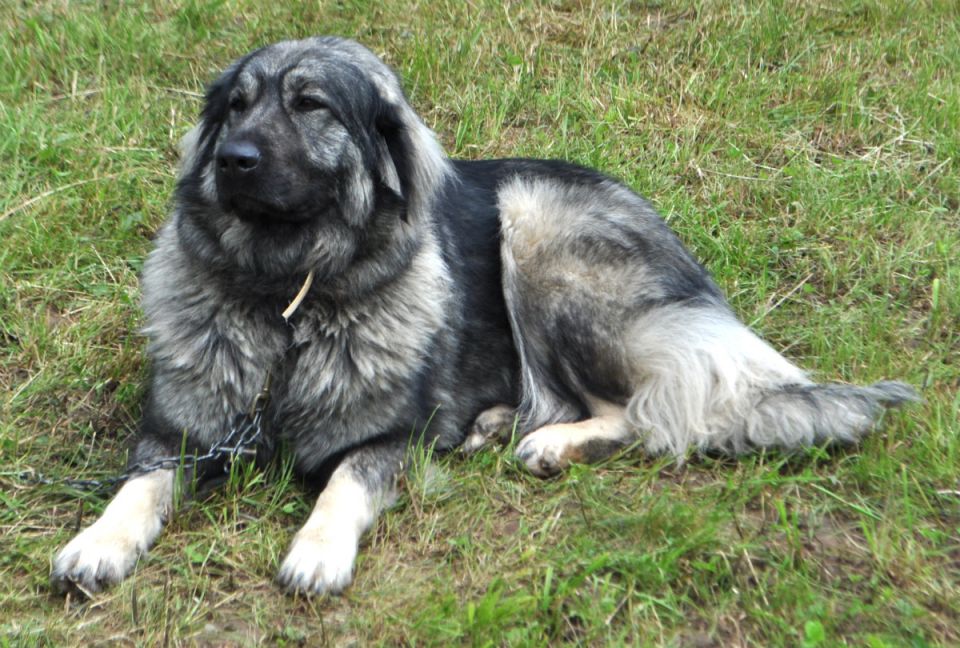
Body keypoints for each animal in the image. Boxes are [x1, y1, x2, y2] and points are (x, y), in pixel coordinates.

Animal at [50, 38, 916, 596]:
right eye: (235, 107)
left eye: (310, 105)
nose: (234, 161)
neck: (289, 303)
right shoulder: (179, 430)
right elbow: (139, 487)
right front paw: (97, 542)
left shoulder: (387, 440)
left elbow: (343, 488)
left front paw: (317, 553)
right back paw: (498, 424)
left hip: (536, 237)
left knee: (647, 410)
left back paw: (549, 443)